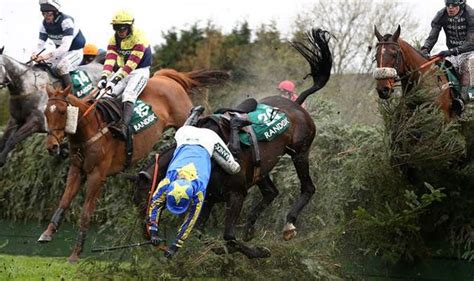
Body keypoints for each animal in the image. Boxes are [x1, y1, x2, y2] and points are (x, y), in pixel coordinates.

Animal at [37, 68, 230, 262]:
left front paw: (75, 253)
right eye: (46, 112)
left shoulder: (97, 176)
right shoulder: (76, 170)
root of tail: (166, 76)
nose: (52, 146)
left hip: (182, 118)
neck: (89, 129)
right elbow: (64, 201)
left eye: (62, 112)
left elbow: (85, 214)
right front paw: (47, 233)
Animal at [133, 28, 334, 258]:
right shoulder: (209, 198)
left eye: (144, 199)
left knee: (308, 187)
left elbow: (228, 235)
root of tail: (296, 104)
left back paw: (289, 224)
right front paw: (223, 248)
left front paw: (259, 252)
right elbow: (200, 234)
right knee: (271, 192)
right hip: (263, 167)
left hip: (300, 152)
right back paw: (249, 228)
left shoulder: (236, 194)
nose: (148, 236)